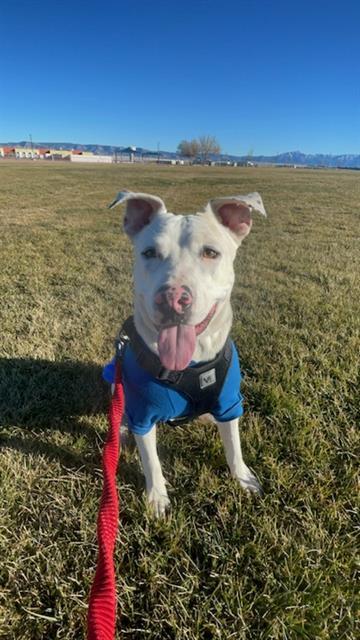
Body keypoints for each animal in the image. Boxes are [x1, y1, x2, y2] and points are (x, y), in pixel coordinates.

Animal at [105, 189, 266, 516]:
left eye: (211, 253)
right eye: (149, 253)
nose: (172, 298)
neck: (189, 366)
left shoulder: (230, 403)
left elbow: (234, 446)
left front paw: (243, 479)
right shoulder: (143, 416)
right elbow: (151, 461)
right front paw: (157, 498)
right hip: (115, 377)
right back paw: (123, 431)